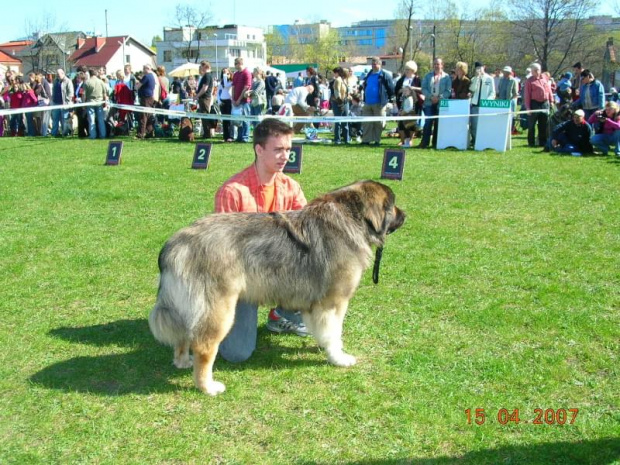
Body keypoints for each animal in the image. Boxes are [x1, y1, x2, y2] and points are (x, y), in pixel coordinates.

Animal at [148, 179, 404, 394]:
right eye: (393, 205)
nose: (405, 214)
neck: (352, 218)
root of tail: (177, 244)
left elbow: (324, 332)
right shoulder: (333, 302)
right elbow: (334, 333)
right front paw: (338, 357)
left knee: (183, 335)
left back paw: (183, 361)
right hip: (218, 309)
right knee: (203, 345)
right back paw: (208, 386)